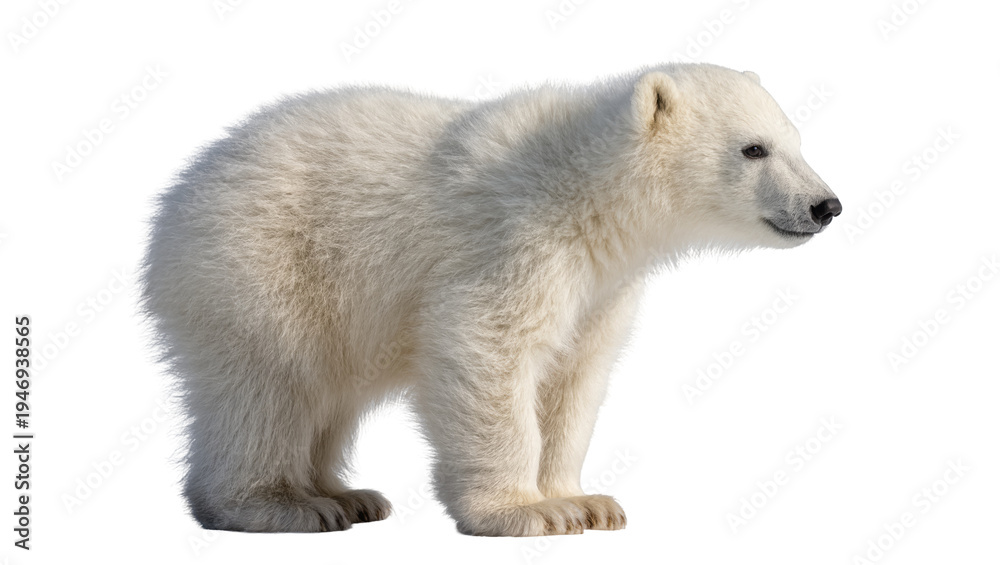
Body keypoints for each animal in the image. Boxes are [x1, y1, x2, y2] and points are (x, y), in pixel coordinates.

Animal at [141, 63, 840, 537]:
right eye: (753, 148)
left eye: (797, 140)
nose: (825, 205)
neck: (584, 186)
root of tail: (178, 194)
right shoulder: (517, 241)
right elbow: (487, 350)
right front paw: (524, 513)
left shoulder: (601, 285)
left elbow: (574, 378)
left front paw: (584, 501)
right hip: (264, 268)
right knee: (269, 387)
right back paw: (283, 504)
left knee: (329, 397)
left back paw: (348, 494)